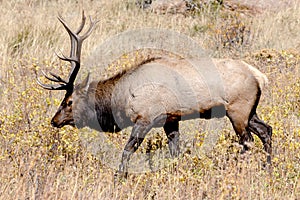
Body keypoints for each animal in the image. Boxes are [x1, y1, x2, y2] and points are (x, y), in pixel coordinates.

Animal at [37, 12, 272, 177]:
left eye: (69, 101)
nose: (54, 120)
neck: (121, 99)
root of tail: (259, 76)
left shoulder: (145, 118)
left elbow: (127, 150)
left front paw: (119, 177)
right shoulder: (171, 119)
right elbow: (174, 151)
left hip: (238, 109)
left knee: (248, 140)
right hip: (250, 110)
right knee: (266, 130)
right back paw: (269, 166)